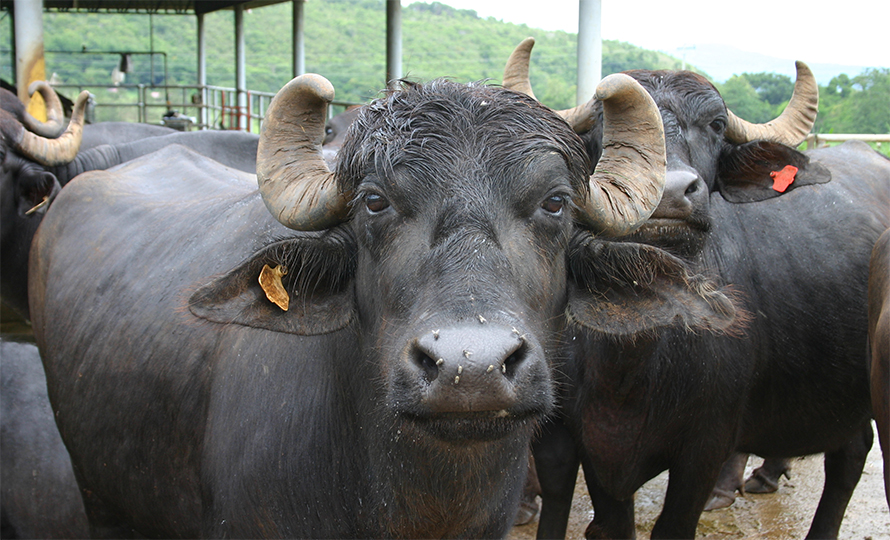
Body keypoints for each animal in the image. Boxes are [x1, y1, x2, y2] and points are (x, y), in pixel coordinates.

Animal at [505, 38, 890, 539]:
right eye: (606, 127)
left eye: (716, 125)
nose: (669, 194)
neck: (631, 360)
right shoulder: (585, 448)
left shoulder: (705, 447)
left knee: (849, 459)